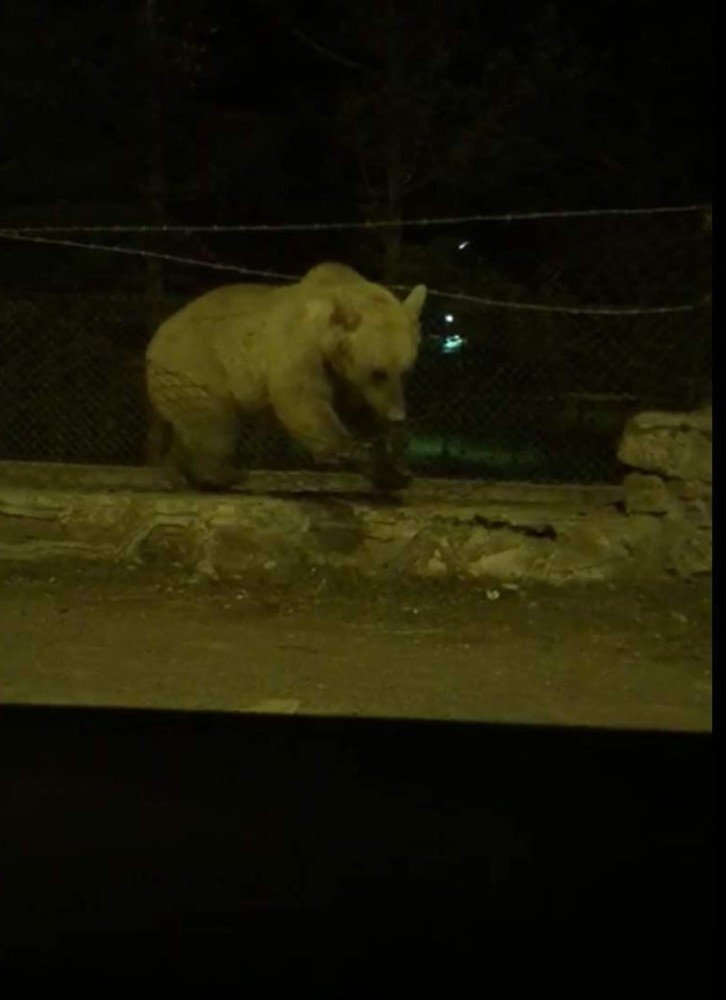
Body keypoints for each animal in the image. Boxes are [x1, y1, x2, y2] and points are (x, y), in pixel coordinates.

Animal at [146, 260, 426, 490]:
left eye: (406, 370)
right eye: (378, 372)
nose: (397, 415)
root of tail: (157, 337)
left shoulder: (348, 378)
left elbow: (363, 411)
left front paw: (395, 469)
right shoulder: (300, 347)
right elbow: (301, 398)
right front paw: (348, 449)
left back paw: (175, 474)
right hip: (197, 365)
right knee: (212, 423)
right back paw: (222, 474)